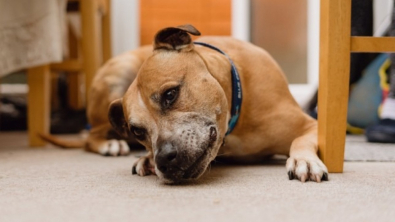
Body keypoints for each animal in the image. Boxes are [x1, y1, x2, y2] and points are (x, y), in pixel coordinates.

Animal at [42, 24, 328, 184]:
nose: (163, 159)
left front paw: (303, 160)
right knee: (90, 136)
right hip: (117, 76)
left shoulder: (311, 125)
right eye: (137, 131)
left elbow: (299, 140)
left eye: (170, 94)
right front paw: (146, 158)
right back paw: (109, 144)